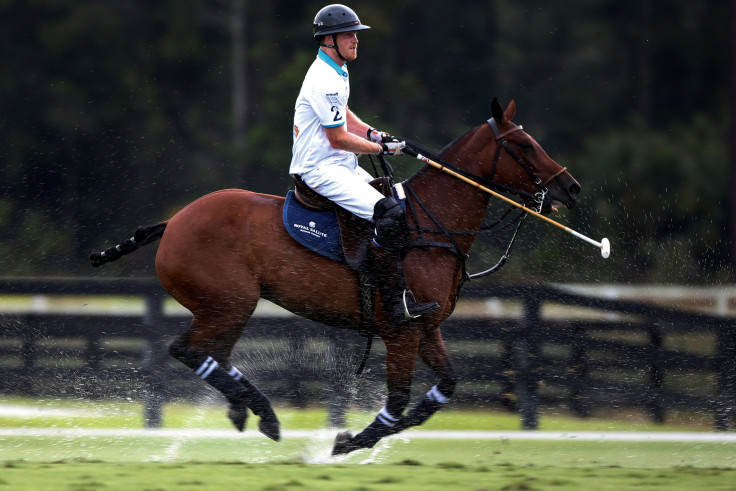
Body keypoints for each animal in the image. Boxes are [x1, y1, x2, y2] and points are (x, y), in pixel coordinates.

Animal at [90, 98, 580, 456]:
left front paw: (355, 439)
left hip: (226, 307)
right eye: (525, 145)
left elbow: (442, 390)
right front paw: (346, 442)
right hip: (230, 302)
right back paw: (264, 413)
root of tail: (172, 223)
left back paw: (246, 409)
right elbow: (398, 399)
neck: (430, 224)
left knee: (211, 353)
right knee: (187, 350)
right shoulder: (401, 330)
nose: (570, 188)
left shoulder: (428, 328)